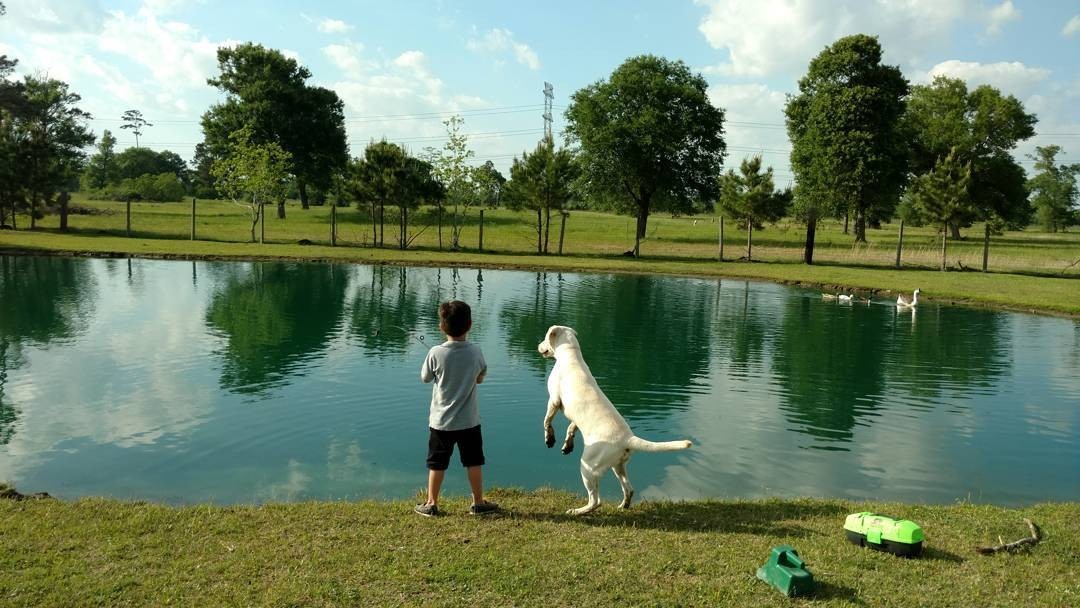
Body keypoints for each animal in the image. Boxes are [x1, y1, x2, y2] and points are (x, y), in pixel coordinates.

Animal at [537, 326, 695, 516]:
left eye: (545, 337)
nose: (538, 346)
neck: (571, 354)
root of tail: (628, 438)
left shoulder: (553, 401)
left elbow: (547, 421)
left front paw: (549, 439)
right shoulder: (574, 417)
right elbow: (571, 427)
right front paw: (567, 445)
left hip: (588, 467)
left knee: (596, 501)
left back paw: (578, 511)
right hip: (618, 466)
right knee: (629, 489)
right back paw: (623, 506)